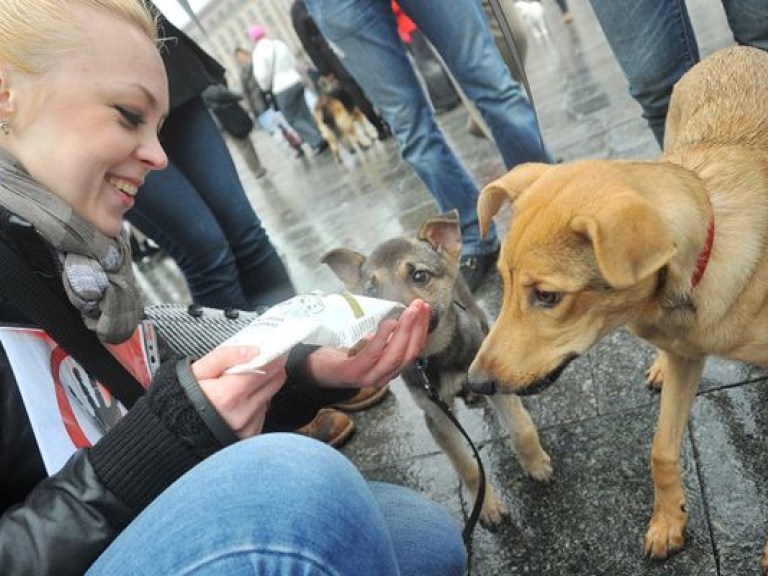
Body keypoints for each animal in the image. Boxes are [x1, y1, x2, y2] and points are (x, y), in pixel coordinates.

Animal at [320, 210, 552, 528]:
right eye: (371, 292)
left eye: (420, 276)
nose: (393, 321)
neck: (435, 356)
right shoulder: (436, 416)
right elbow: (466, 466)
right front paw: (488, 505)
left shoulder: (496, 391)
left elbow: (521, 429)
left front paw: (536, 464)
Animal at [468, 47, 768, 568]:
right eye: (501, 282)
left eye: (547, 296)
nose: (474, 384)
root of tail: (732, 50)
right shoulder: (685, 352)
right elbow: (660, 450)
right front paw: (669, 521)